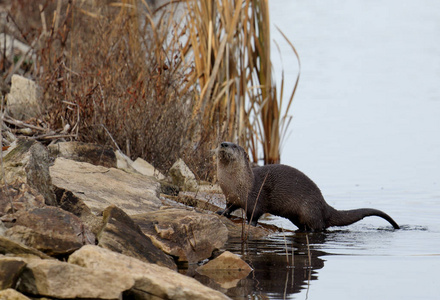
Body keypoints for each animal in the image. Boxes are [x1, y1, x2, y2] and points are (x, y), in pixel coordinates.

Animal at [215, 142, 400, 231]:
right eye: (223, 141)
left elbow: (255, 213)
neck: (236, 185)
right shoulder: (230, 198)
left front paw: (250, 224)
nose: (223, 144)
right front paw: (221, 212)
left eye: (234, 146)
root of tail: (324, 205)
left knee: (319, 227)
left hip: (309, 210)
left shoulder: (255, 196)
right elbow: (229, 208)